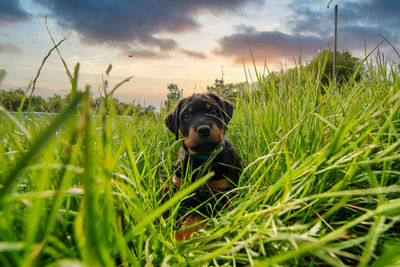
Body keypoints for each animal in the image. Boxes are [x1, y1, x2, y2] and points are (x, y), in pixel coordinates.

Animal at [165, 93, 242, 242]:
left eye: (214, 111)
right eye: (186, 116)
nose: (203, 129)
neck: (201, 160)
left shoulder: (219, 196)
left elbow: (195, 217)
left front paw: (177, 238)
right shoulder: (178, 186)